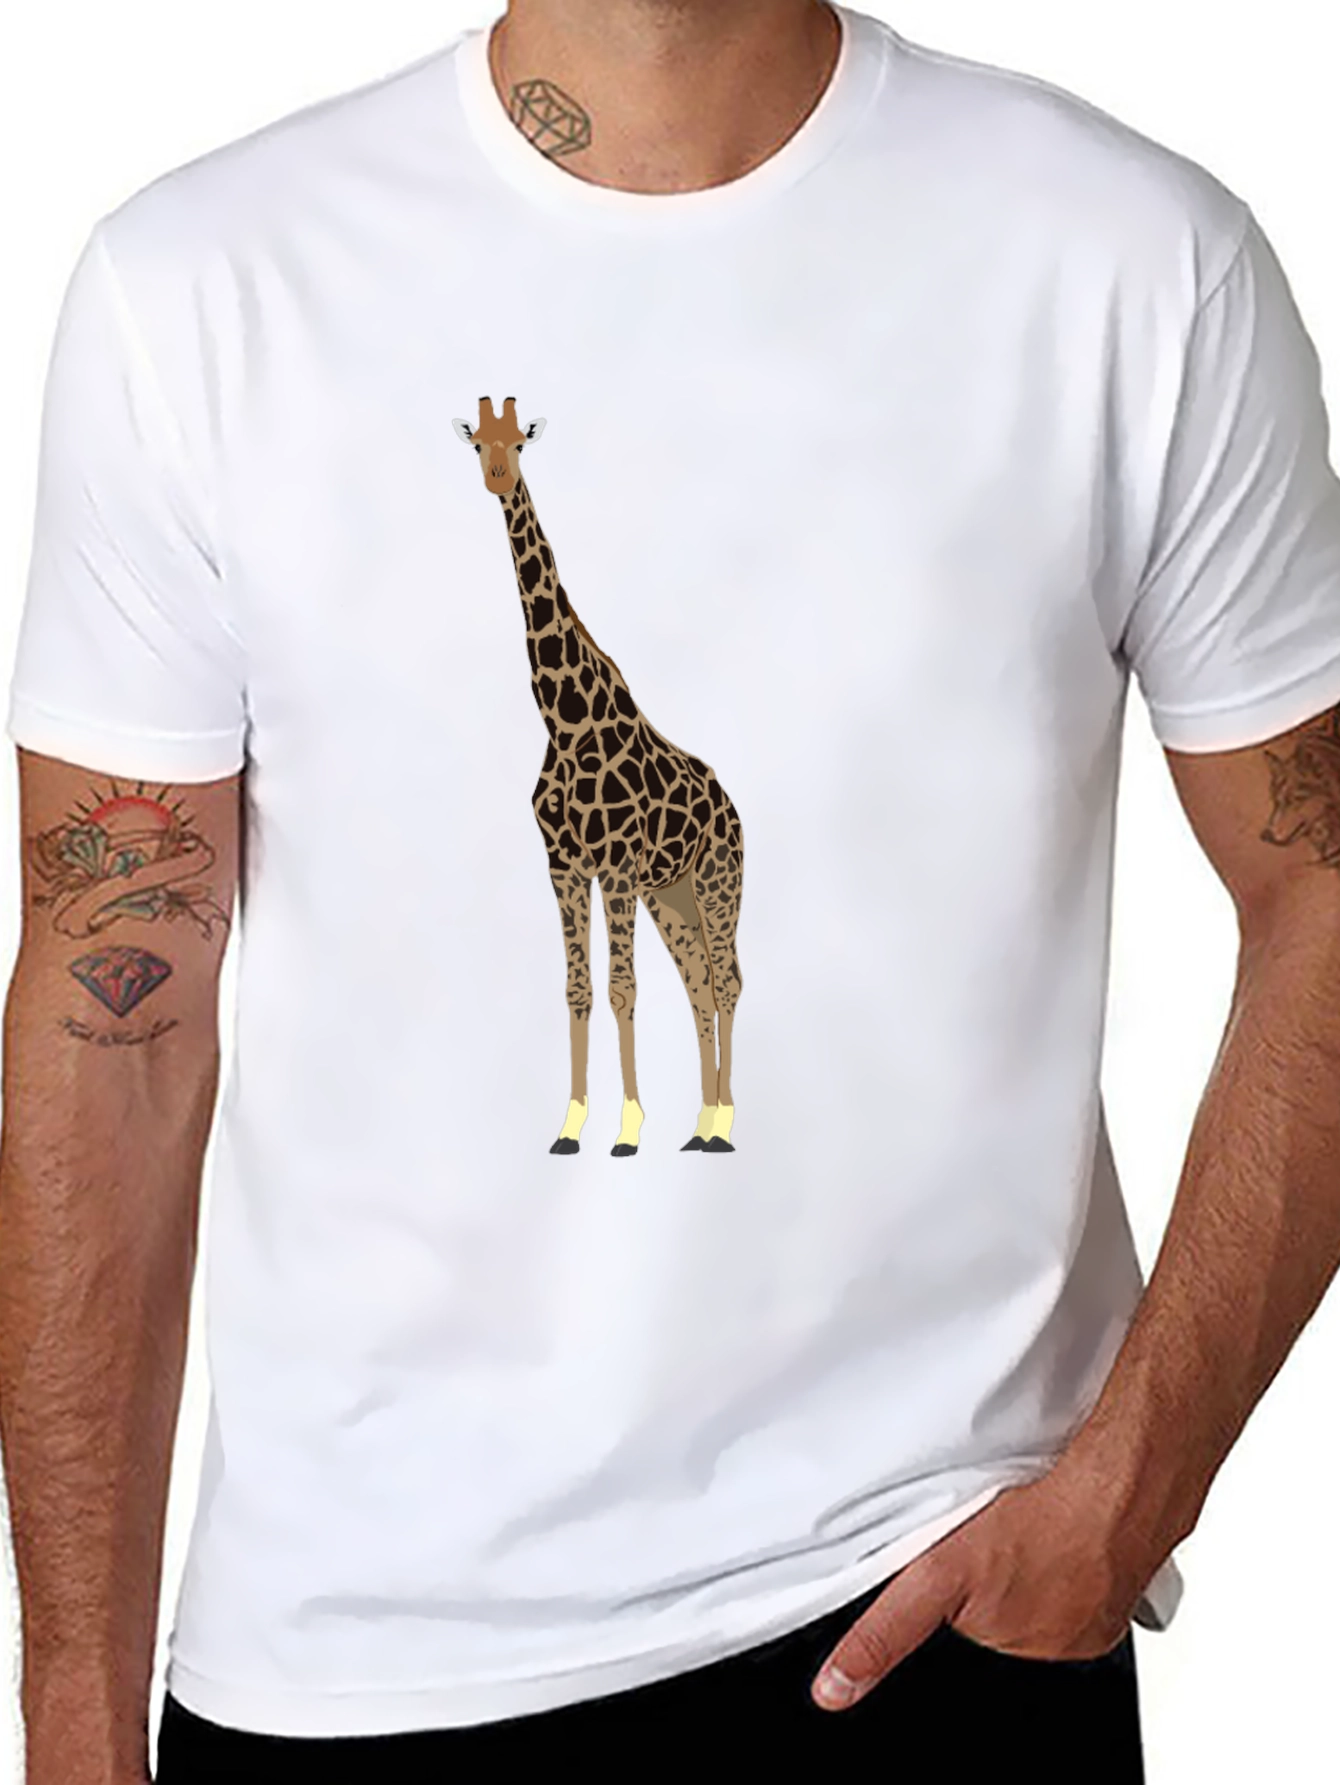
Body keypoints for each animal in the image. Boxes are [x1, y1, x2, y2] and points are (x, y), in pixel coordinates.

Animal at [452, 396, 744, 1157]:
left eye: (521, 442)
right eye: (478, 445)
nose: (497, 478)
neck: (563, 718)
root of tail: (733, 807)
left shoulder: (612, 866)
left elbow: (621, 988)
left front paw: (628, 1128)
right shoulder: (563, 865)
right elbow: (579, 989)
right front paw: (571, 1124)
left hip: (714, 881)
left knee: (727, 980)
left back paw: (723, 1123)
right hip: (671, 894)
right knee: (700, 982)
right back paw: (700, 1123)